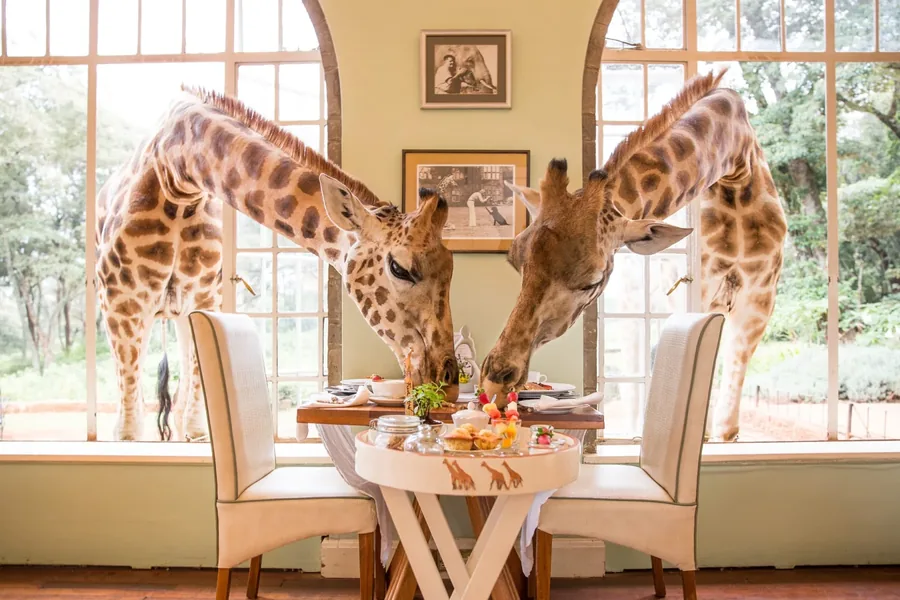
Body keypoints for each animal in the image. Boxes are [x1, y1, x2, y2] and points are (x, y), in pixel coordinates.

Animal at [96, 87, 459, 442]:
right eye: (399, 268)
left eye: (451, 270)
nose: (450, 383)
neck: (177, 173)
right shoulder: (122, 305)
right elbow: (128, 433)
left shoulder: (203, 301)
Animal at [480, 70, 787, 442]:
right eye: (515, 261)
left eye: (593, 281)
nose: (494, 382)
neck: (736, 167)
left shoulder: (758, 302)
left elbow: (726, 424)